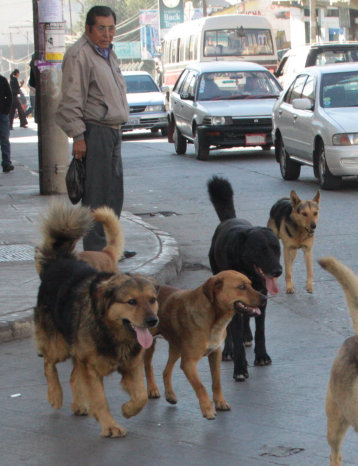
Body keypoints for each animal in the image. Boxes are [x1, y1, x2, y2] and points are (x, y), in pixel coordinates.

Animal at [34, 202, 158, 438]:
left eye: (152, 300)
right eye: (131, 302)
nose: (152, 321)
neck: (111, 331)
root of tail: (59, 261)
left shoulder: (131, 365)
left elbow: (141, 396)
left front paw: (127, 409)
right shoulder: (90, 368)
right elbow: (99, 399)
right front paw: (110, 426)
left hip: (76, 351)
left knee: (73, 375)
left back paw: (79, 404)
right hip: (59, 346)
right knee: (48, 363)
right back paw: (55, 394)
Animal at [143, 268, 266, 420]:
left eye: (250, 284)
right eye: (241, 287)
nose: (265, 299)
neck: (215, 320)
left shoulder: (215, 354)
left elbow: (217, 381)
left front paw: (220, 402)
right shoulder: (188, 362)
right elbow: (200, 387)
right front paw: (207, 408)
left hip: (176, 347)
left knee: (166, 370)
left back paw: (170, 394)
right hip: (148, 343)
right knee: (148, 366)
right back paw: (152, 389)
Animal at [207, 177, 282, 380]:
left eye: (276, 249)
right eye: (261, 250)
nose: (278, 271)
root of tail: (229, 219)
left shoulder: (262, 296)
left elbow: (260, 330)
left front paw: (262, 356)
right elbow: (235, 332)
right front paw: (240, 367)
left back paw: (247, 335)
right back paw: (228, 351)